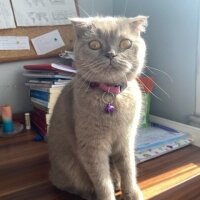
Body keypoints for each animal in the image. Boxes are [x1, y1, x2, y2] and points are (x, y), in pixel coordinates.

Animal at [48, 16, 148, 200]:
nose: (111, 54)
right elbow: (102, 180)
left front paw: (131, 193)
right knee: (73, 185)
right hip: (70, 168)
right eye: (94, 44)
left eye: (126, 43)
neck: (111, 95)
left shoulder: (126, 140)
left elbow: (128, 169)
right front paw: (107, 195)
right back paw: (91, 193)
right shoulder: (92, 147)